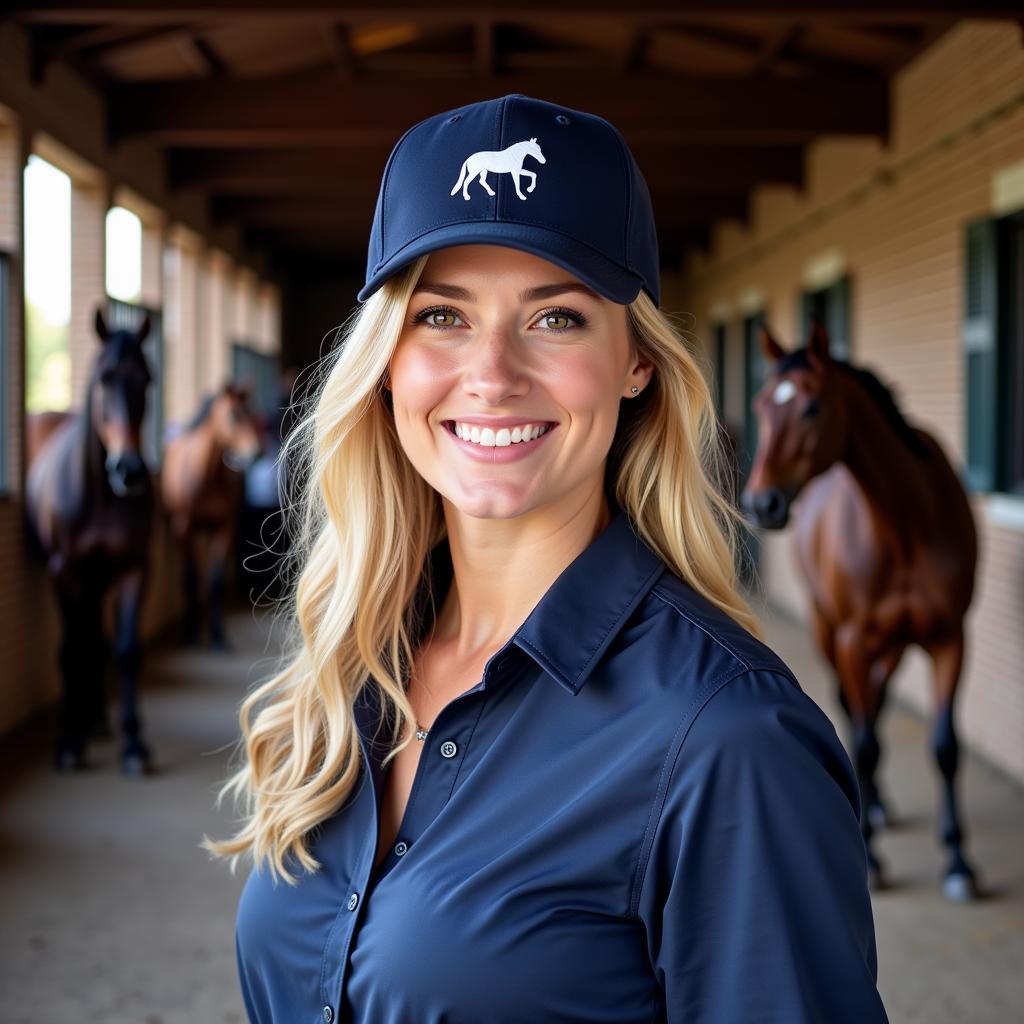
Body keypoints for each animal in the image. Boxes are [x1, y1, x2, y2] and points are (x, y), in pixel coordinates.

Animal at [24, 307, 157, 770]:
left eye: (147, 380)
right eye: (105, 378)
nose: (129, 470)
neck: (100, 495)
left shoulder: (135, 569)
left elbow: (127, 651)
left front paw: (134, 743)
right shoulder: (63, 573)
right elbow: (70, 651)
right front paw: (67, 741)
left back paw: (97, 719)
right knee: (83, 639)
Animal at [159, 385, 262, 647]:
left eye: (252, 413)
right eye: (234, 415)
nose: (256, 452)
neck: (205, 476)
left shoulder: (224, 529)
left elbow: (215, 582)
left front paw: (217, 636)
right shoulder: (183, 528)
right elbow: (190, 578)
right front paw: (191, 633)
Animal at [741, 321, 978, 905]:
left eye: (811, 407)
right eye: (761, 405)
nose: (761, 504)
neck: (907, 524)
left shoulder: (951, 639)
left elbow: (946, 746)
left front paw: (959, 862)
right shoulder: (852, 639)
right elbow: (866, 741)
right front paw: (871, 857)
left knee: (878, 697)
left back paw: (879, 804)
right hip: (830, 632)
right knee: (855, 710)